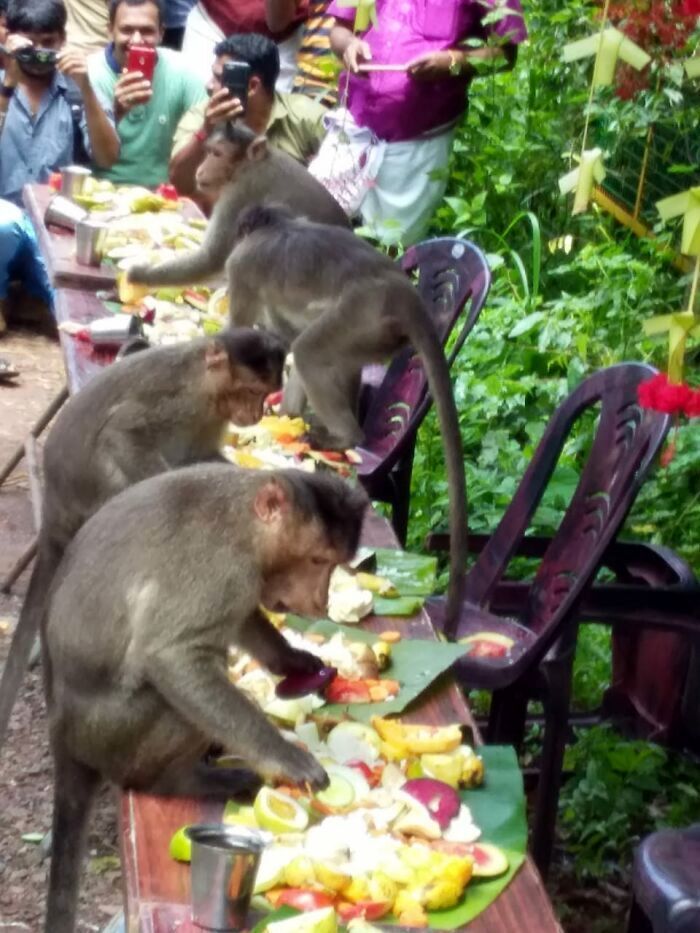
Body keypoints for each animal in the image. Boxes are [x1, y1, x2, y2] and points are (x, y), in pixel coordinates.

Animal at [43, 466, 370, 932]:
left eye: (333, 564)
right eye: (317, 561)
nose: (320, 601)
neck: (246, 525)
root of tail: (63, 735)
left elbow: (244, 618)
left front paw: (294, 661)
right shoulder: (224, 571)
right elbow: (175, 655)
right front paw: (288, 758)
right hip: (115, 735)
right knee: (176, 695)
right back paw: (179, 781)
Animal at [126, 124, 350, 292]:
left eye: (217, 154)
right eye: (209, 152)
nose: (201, 169)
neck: (248, 163)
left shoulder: (242, 190)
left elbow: (211, 259)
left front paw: (138, 274)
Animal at [224, 204, 468, 628]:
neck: (276, 224)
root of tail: (402, 292)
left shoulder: (243, 264)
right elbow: (281, 337)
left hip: (364, 314)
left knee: (308, 349)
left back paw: (341, 436)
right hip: (373, 333)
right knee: (311, 348)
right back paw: (292, 417)